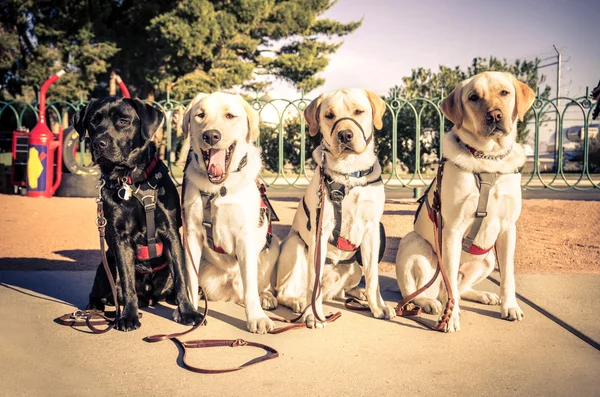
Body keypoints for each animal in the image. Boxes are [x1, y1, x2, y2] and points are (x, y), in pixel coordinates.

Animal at [72, 97, 202, 330]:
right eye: (93, 122)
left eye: (123, 120)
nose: (98, 144)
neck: (132, 181)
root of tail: (149, 297)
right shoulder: (120, 238)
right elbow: (127, 282)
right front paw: (128, 316)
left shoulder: (171, 232)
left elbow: (181, 277)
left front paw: (188, 312)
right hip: (106, 264)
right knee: (101, 293)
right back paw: (94, 309)